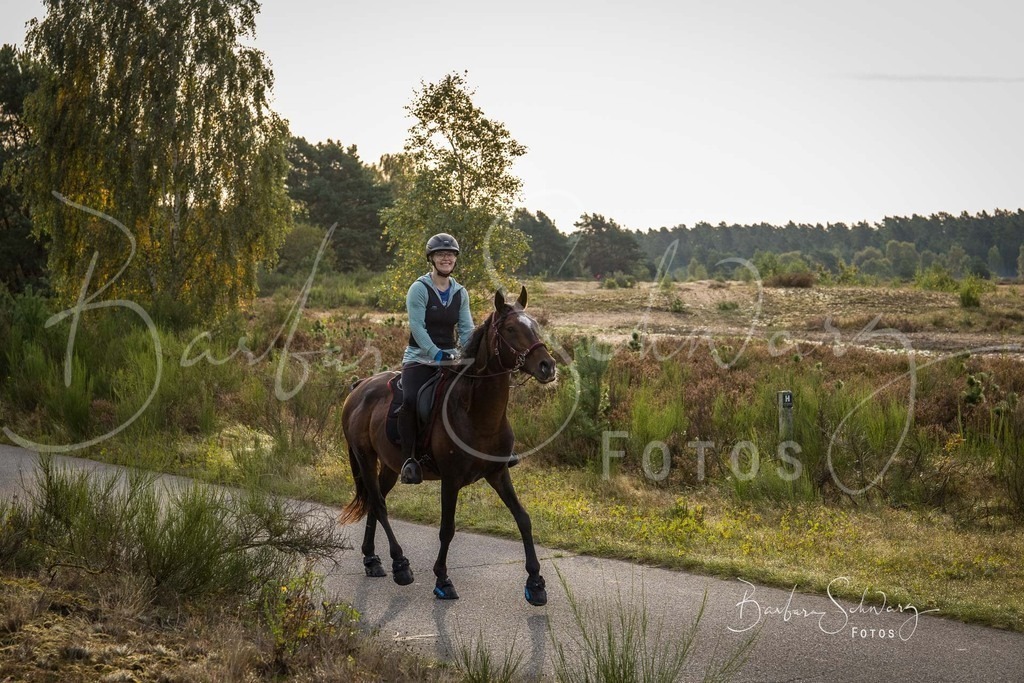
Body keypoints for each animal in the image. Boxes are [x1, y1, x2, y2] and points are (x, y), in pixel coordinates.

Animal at [339, 286, 557, 605]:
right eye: (511, 329)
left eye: (536, 326)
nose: (547, 366)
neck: (478, 414)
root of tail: (359, 387)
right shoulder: (451, 480)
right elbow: (447, 529)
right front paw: (442, 579)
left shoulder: (498, 473)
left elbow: (523, 519)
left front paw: (536, 582)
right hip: (365, 456)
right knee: (378, 504)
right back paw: (400, 565)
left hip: (391, 466)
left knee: (375, 500)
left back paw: (372, 560)